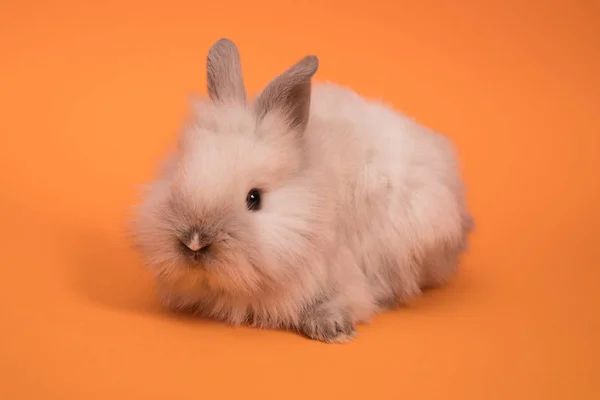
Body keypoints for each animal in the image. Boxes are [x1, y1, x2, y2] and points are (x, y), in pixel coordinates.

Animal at [131, 38, 474, 344]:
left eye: (254, 199)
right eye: (179, 173)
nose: (194, 242)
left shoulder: (346, 273)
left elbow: (353, 299)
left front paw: (331, 328)